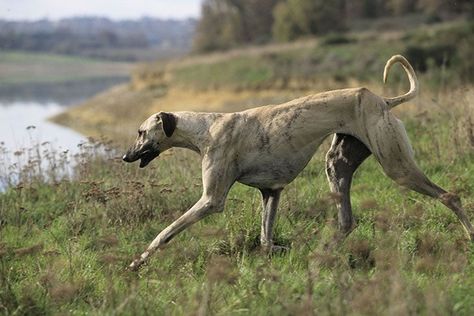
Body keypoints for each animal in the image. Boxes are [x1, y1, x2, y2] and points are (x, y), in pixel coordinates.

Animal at [123, 55, 474, 270]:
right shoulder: (271, 192)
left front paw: (137, 262)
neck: (206, 128)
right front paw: (280, 251)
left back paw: (469, 236)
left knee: (449, 195)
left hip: (396, 165)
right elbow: (265, 240)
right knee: (346, 222)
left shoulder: (211, 200)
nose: (126, 156)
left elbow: (166, 232)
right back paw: (321, 255)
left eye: (141, 132)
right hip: (337, 164)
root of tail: (382, 100)